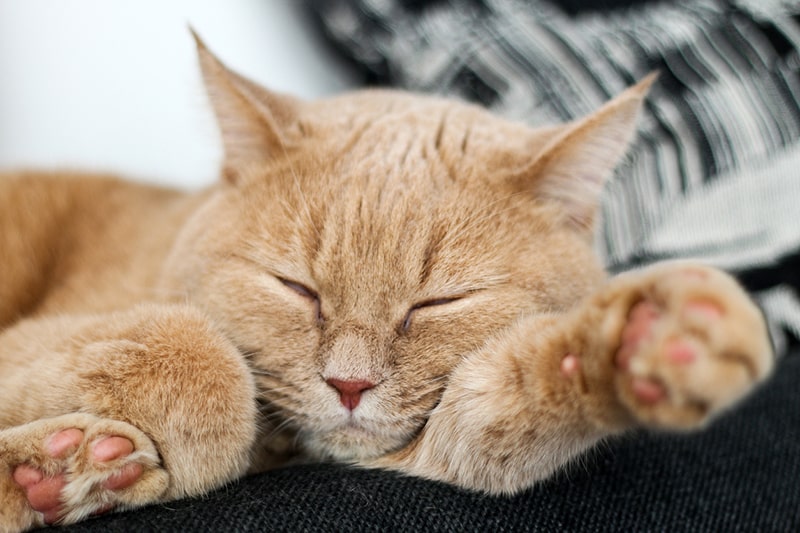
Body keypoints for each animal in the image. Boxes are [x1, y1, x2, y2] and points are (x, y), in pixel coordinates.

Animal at [0, 34, 776, 532]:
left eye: (438, 303)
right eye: (298, 288)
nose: (349, 385)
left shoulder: (437, 442)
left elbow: (502, 407)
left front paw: (650, 338)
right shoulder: (32, 340)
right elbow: (205, 364)